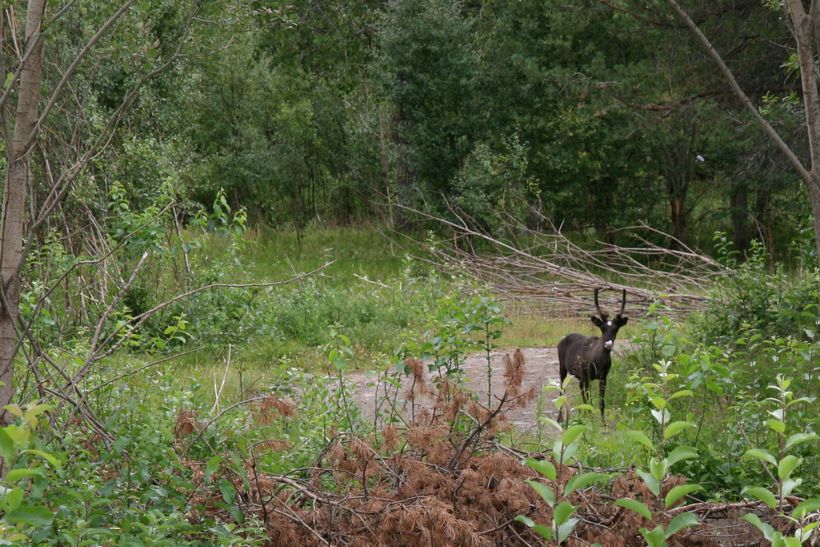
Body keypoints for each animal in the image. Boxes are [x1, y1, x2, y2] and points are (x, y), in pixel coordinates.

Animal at [556, 292, 628, 424]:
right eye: (602, 328)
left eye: (616, 329)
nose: (608, 344)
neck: (598, 363)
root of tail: (562, 340)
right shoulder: (587, 376)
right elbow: (590, 401)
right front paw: (591, 421)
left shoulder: (603, 377)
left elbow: (601, 403)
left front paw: (603, 424)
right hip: (562, 366)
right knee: (562, 389)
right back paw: (560, 419)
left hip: (580, 376)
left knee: (580, 390)